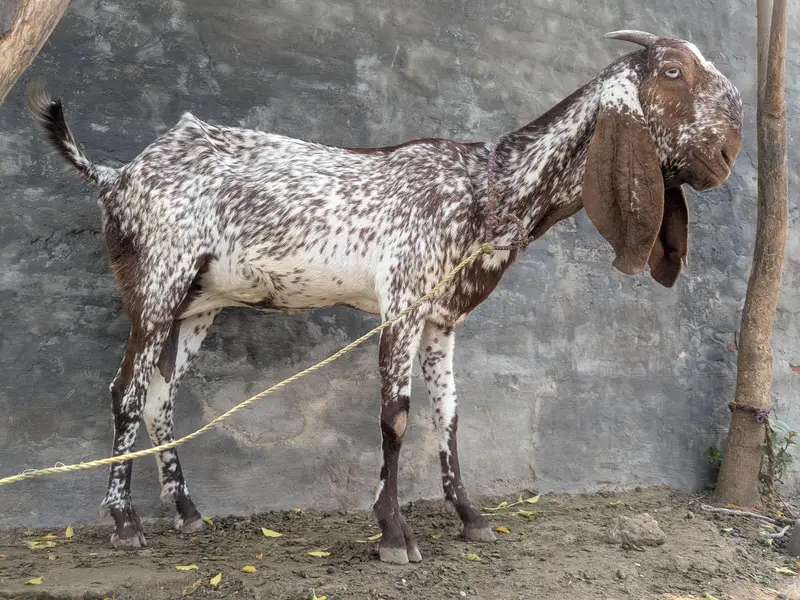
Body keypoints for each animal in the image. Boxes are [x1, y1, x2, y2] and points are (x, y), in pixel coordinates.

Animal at [27, 30, 743, 564]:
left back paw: (187, 512)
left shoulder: (443, 320)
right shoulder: (401, 300)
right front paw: (395, 534)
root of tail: (116, 176)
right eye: (673, 71)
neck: (486, 189)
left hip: (199, 303)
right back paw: (125, 521)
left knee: (160, 398)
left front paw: (471, 517)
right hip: (156, 282)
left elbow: (449, 414)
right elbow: (396, 415)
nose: (731, 152)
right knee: (126, 392)